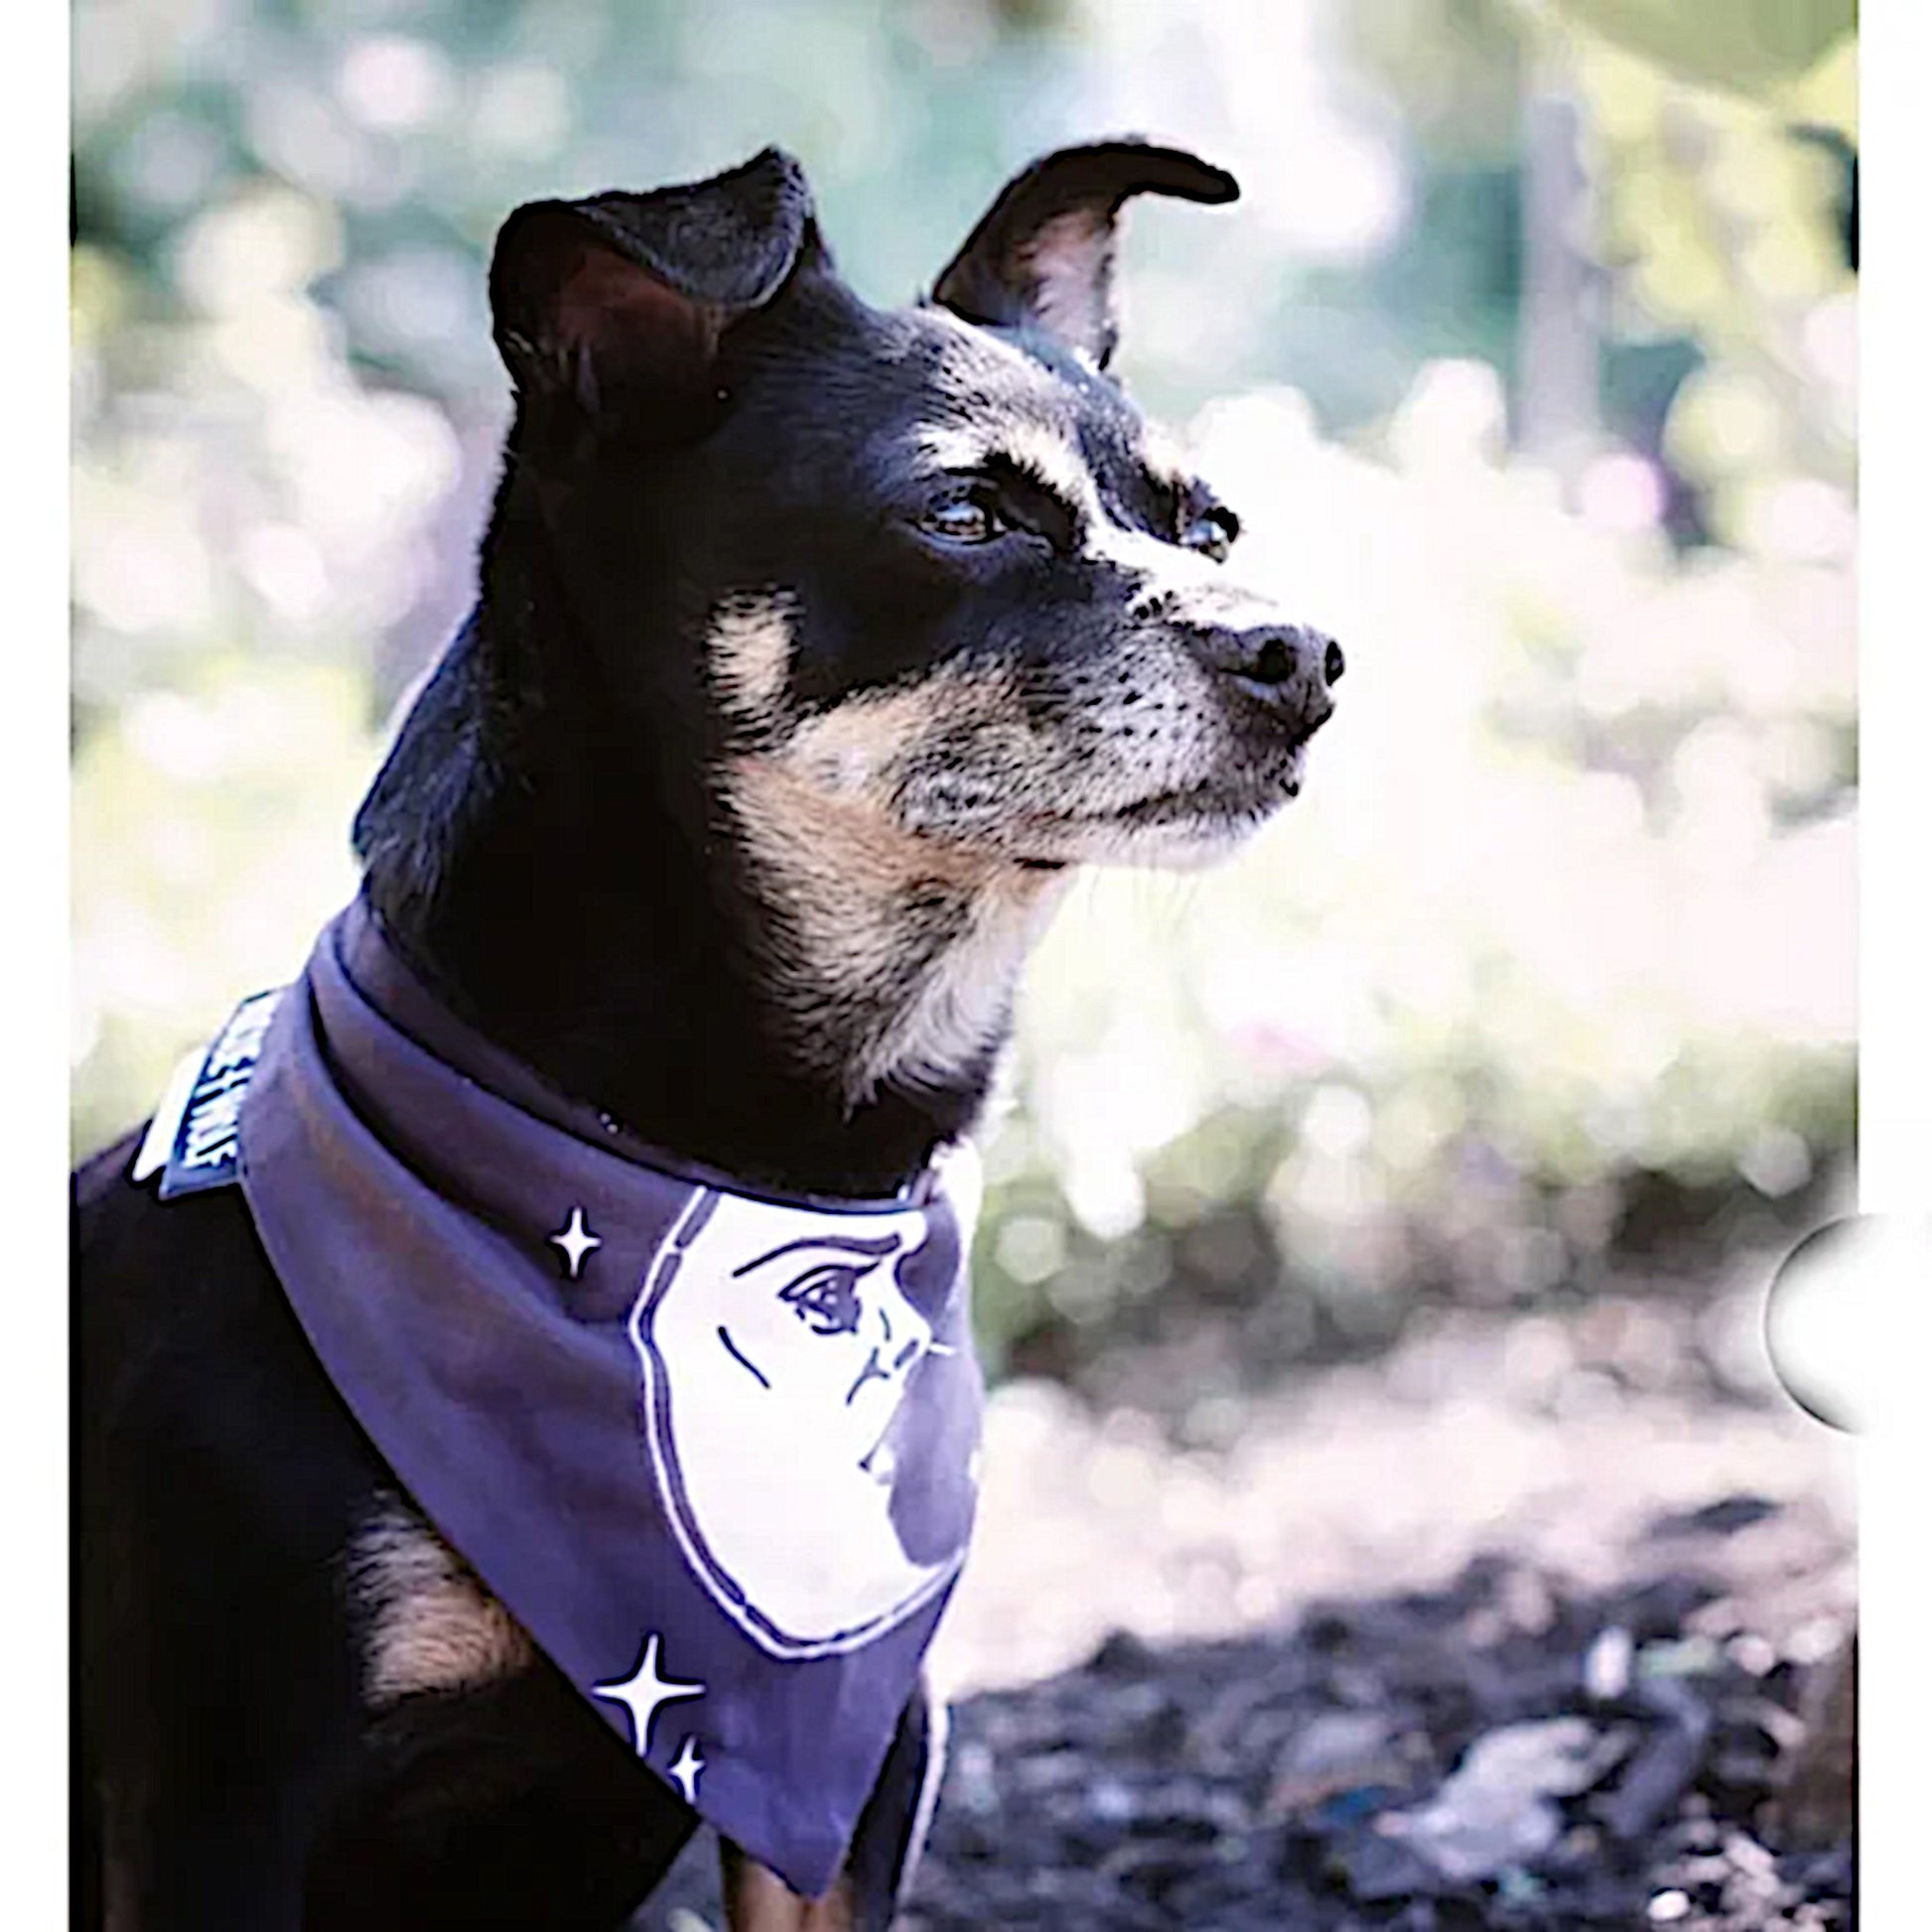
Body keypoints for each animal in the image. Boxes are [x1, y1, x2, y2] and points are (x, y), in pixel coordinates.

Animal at [74, 143, 1344, 1924]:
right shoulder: (217, 1811)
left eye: (1210, 523)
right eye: (960, 513)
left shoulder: (856, 1766)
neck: (728, 1157)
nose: (1301, 653)